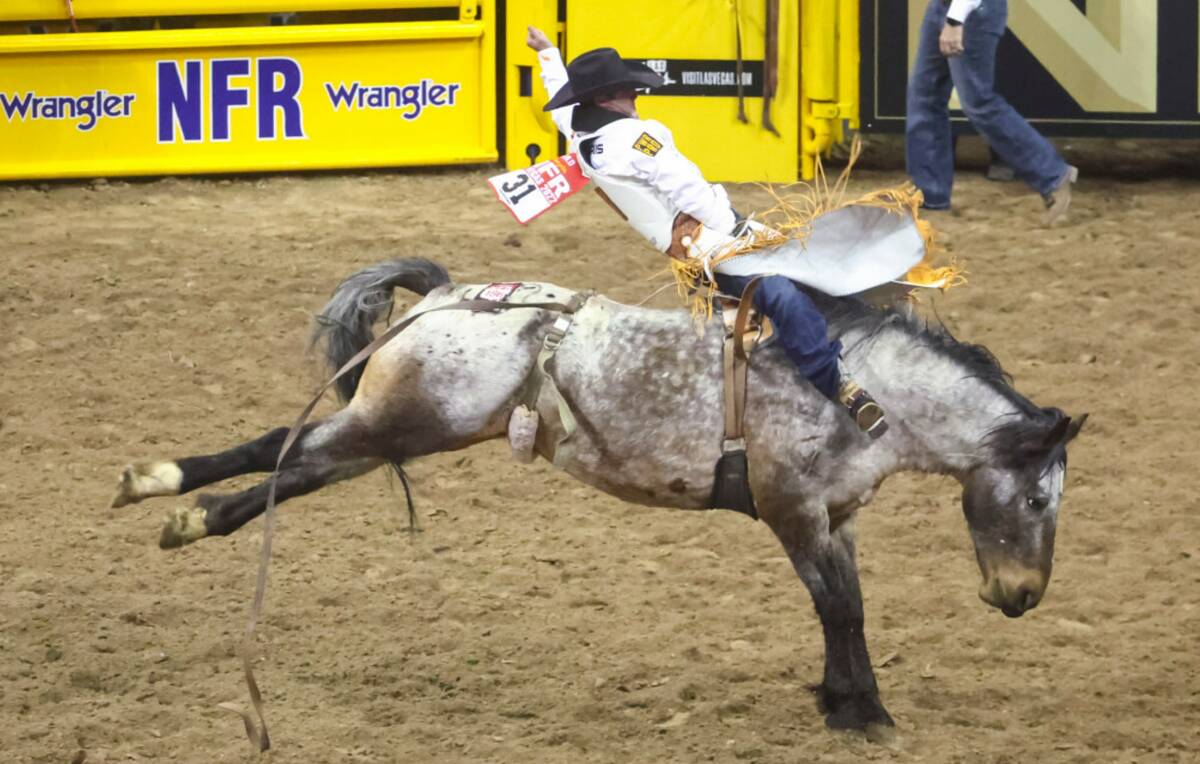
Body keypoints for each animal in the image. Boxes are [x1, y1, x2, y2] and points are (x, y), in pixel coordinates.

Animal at [112, 256, 1089, 734]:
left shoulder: (833, 521)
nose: (1022, 597)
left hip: (395, 428)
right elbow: (841, 610)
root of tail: (446, 294)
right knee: (284, 453)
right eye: (1040, 503)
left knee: (287, 459)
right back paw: (172, 499)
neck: (859, 388)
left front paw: (840, 700)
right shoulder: (794, 515)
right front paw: (867, 716)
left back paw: (171, 499)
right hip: (402, 420)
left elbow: (842, 611)